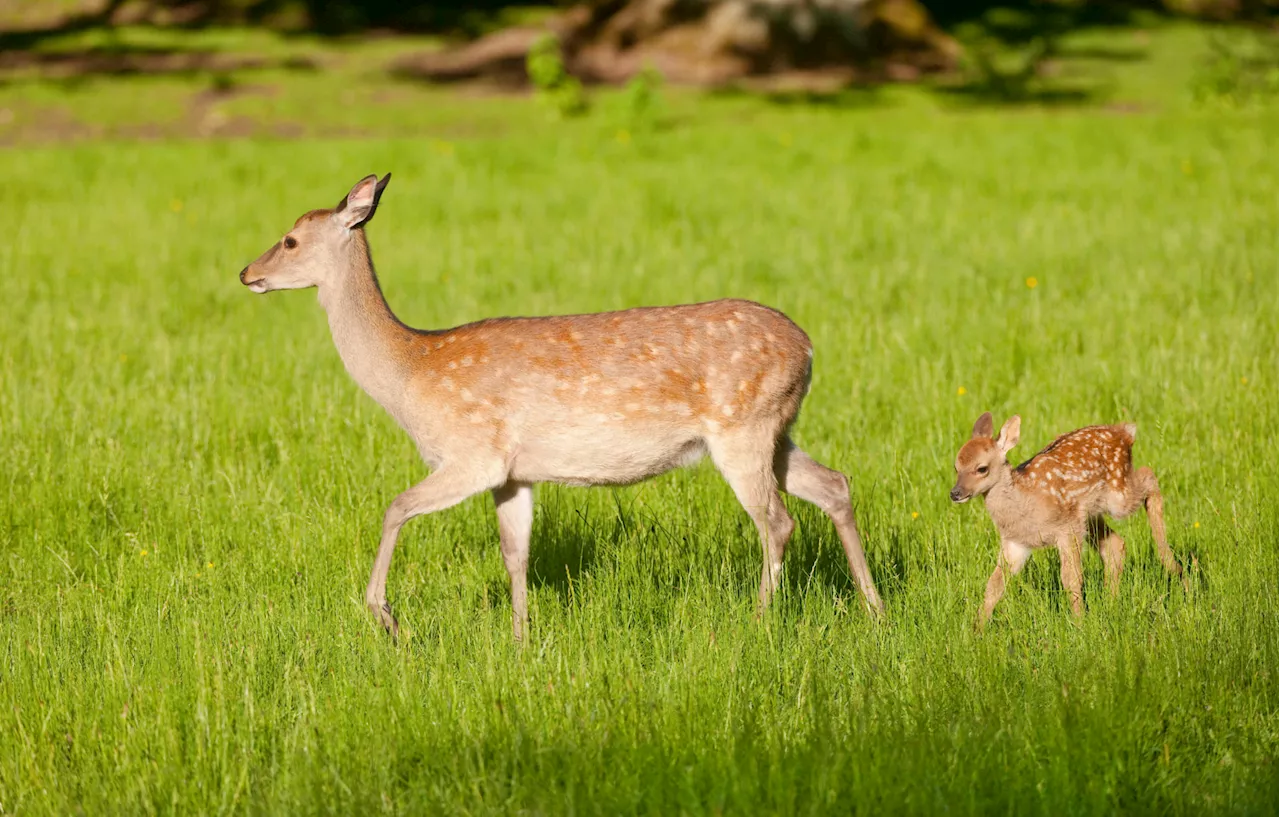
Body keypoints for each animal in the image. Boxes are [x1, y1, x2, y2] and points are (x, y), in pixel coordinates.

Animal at [238, 174, 880, 645]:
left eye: (290, 239)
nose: (246, 272)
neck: (410, 373)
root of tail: (809, 348)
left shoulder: (473, 453)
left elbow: (395, 506)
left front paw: (388, 619)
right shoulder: (513, 472)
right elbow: (515, 554)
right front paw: (521, 642)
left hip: (741, 427)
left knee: (777, 521)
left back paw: (759, 622)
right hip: (776, 428)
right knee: (835, 485)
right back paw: (875, 608)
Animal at [952, 412, 1177, 630]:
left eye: (982, 468)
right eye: (956, 467)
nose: (955, 493)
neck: (1024, 503)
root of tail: (1124, 432)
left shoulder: (1066, 528)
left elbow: (1071, 578)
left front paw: (1079, 625)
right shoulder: (1015, 543)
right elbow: (994, 585)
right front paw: (977, 630)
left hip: (1118, 495)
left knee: (1149, 475)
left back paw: (1172, 566)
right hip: (1090, 514)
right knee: (1116, 544)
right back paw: (1110, 601)